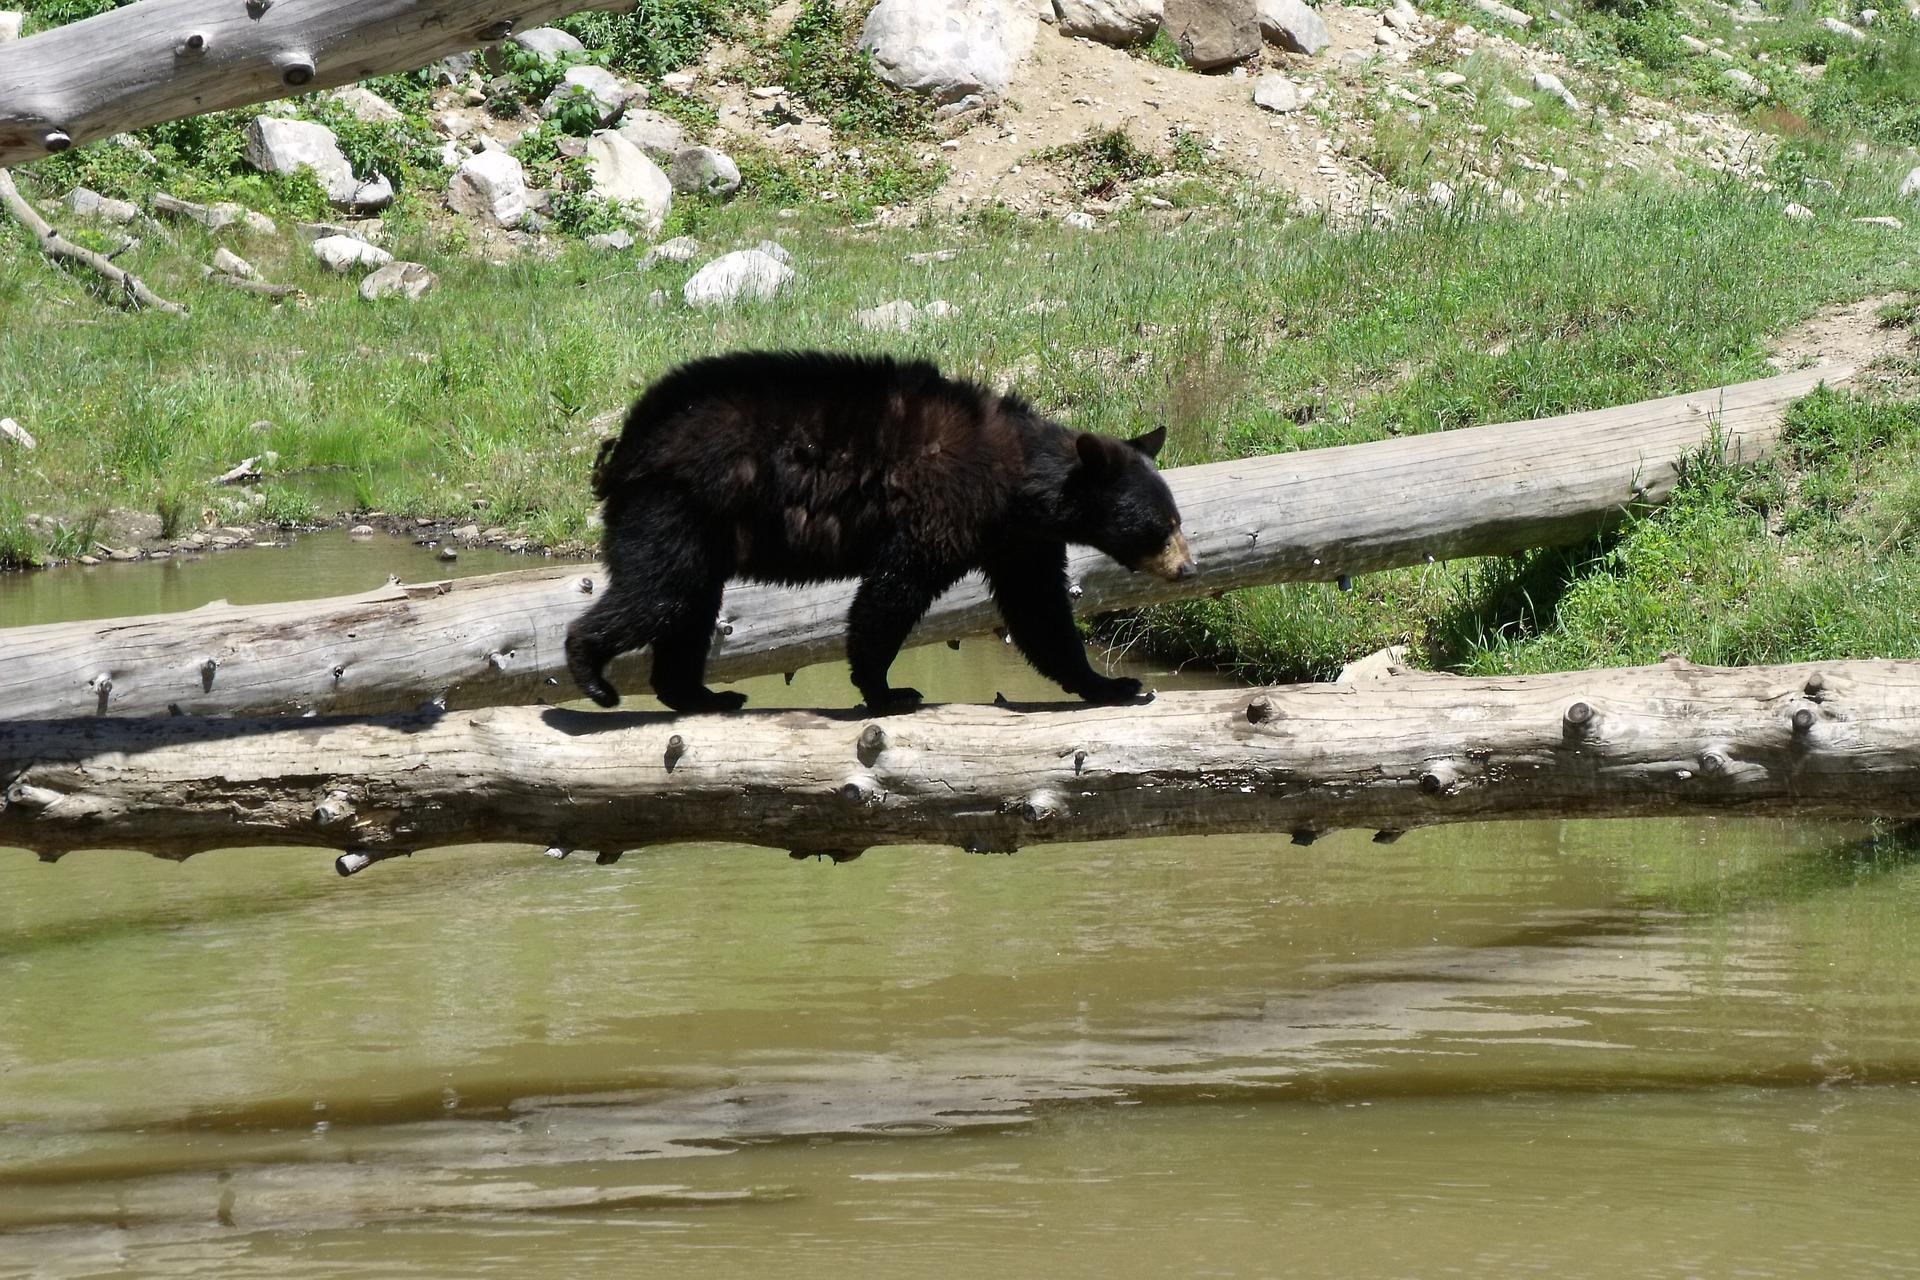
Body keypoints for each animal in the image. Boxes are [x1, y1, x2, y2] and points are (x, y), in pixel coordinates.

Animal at [560, 351, 1190, 717]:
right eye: (1161, 525)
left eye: (1178, 520)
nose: (1186, 567)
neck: (1020, 480)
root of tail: (629, 441)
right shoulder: (944, 506)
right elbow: (893, 592)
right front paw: (887, 691)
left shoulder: (1019, 540)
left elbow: (1040, 613)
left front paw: (1109, 684)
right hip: (680, 501)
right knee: (663, 591)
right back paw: (592, 670)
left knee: (689, 602)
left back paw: (699, 693)